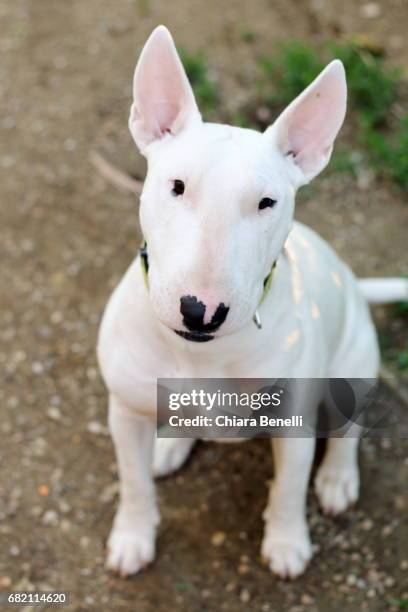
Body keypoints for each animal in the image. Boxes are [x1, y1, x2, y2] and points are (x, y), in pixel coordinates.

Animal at [97, 25, 406, 580]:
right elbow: (133, 483)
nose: (200, 311)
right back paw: (169, 445)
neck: (198, 354)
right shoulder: (125, 412)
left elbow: (288, 487)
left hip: (354, 364)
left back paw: (337, 480)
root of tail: (352, 279)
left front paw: (286, 543)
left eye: (267, 202)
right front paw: (132, 538)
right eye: (176, 186)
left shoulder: (294, 425)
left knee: (347, 431)